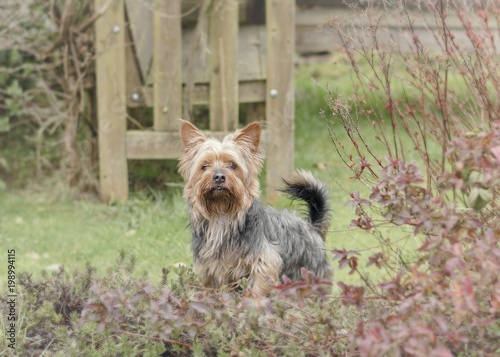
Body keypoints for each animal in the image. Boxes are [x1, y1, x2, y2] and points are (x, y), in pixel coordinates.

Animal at [180, 120, 332, 294]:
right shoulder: (209, 270)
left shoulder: (264, 264)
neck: (222, 213)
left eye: (233, 165)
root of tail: (312, 227)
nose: (218, 177)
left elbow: (256, 291)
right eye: (204, 166)